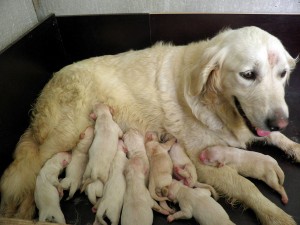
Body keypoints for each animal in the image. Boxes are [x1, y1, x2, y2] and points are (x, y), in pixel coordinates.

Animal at [0, 25, 298, 224]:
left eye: (283, 74)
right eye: (248, 75)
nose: (280, 121)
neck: (215, 101)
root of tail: (51, 80)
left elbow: (276, 139)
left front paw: (293, 146)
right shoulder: (202, 160)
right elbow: (246, 186)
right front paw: (276, 215)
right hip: (65, 132)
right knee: (28, 173)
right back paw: (23, 213)